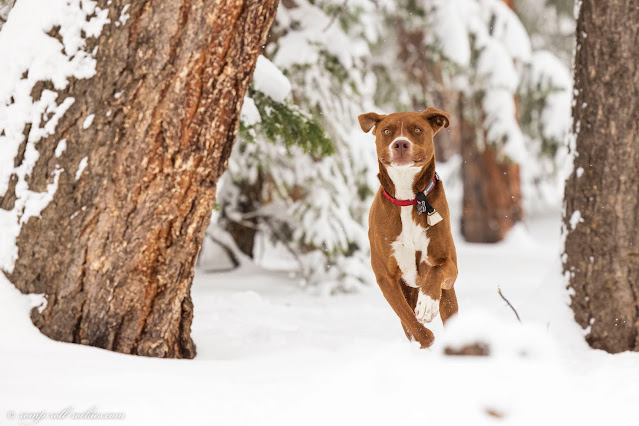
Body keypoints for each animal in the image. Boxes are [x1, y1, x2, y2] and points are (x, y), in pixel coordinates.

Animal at [358, 108, 458, 348]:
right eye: (386, 131)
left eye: (417, 129)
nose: (400, 143)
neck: (408, 198)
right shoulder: (385, 276)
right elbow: (408, 318)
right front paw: (427, 341)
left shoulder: (449, 266)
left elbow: (436, 271)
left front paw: (428, 303)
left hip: (449, 295)